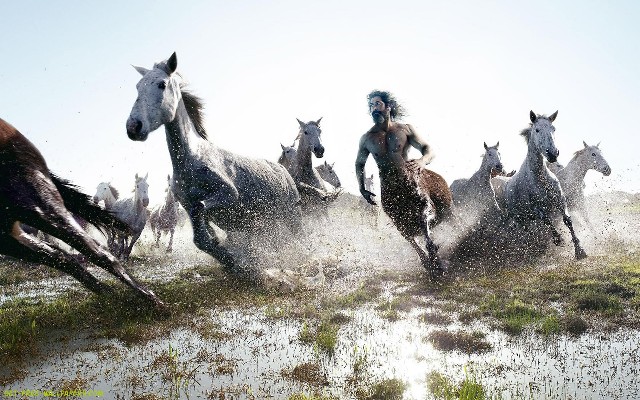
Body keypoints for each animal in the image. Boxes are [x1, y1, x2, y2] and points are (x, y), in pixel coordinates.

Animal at [0, 117, 163, 308]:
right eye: (138, 186)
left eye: (148, 185)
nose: (146, 201)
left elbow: (123, 247)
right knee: (60, 255)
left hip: (37, 205)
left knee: (93, 252)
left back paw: (149, 301)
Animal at [125, 52, 303, 272]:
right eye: (137, 86)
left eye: (161, 84)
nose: (133, 127)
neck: (192, 161)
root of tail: (284, 171)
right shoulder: (188, 206)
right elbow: (201, 238)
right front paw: (229, 259)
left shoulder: (229, 195)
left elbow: (202, 209)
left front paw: (230, 256)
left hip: (293, 216)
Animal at [501, 110, 587, 260]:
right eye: (537, 129)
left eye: (553, 129)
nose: (552, 154)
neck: (540, 178)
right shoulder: (537, 208)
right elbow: (547, 220)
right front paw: (558, 239)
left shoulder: (560, 200)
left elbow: (567, 220)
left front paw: (579, 250)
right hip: (519, 218)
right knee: (527, 231)